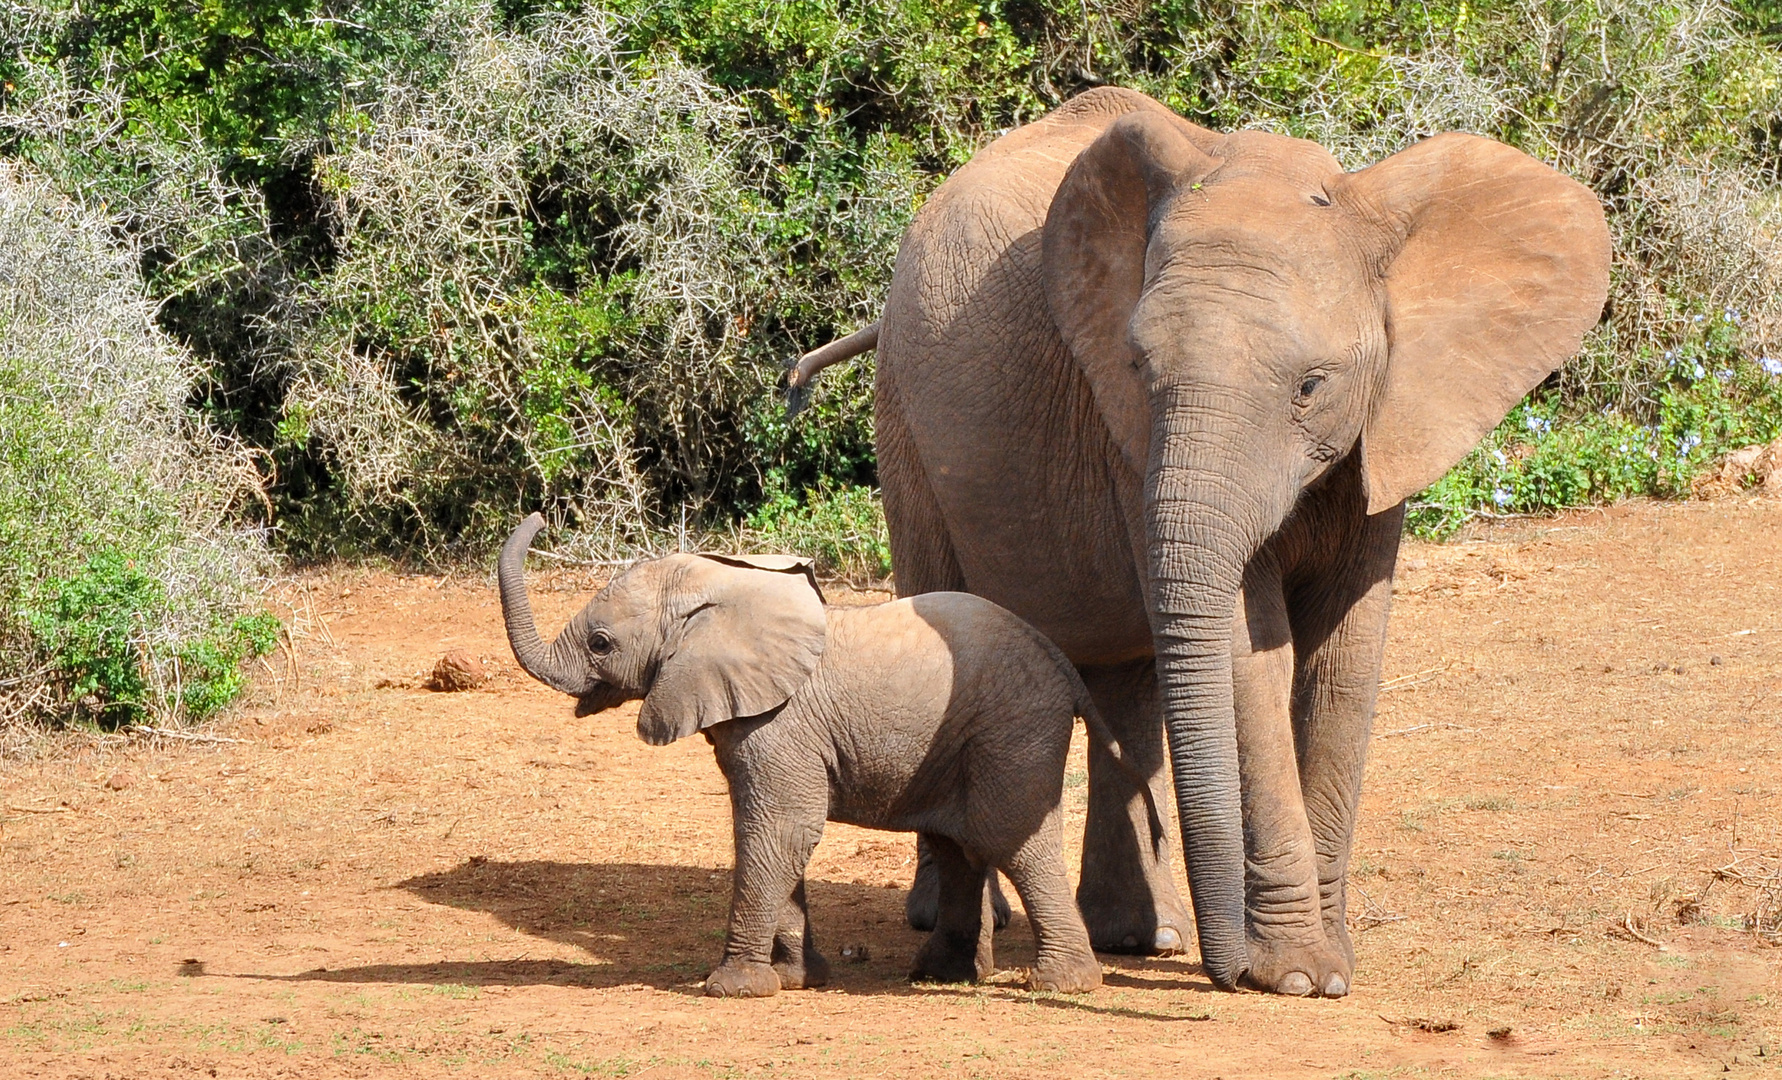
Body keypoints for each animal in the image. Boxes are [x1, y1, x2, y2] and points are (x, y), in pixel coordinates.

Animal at [495, 516, 1161, 998]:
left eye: (600, 643)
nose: (539, 517)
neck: (721, 592)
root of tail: (1063, 665)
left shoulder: (779, 724)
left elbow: (777, 829)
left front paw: (732, 988)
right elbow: (775, 836)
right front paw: (796, 981)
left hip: (1014, 730)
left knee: (1007, 838)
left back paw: (1061, 984)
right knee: (959, 843)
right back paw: (941, 975)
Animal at [794, 86, 1618, 998]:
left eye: (1312, 386)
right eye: (1136, 367)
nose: (1230, 972)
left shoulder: (1386, 424)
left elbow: (1345, 660)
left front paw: (1329, 969)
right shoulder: (1130, 436)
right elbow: (1247, 652)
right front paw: (1297, 978)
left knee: (1125, 678)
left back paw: (1140, 937)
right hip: (904, 414)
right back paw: (970, 919)